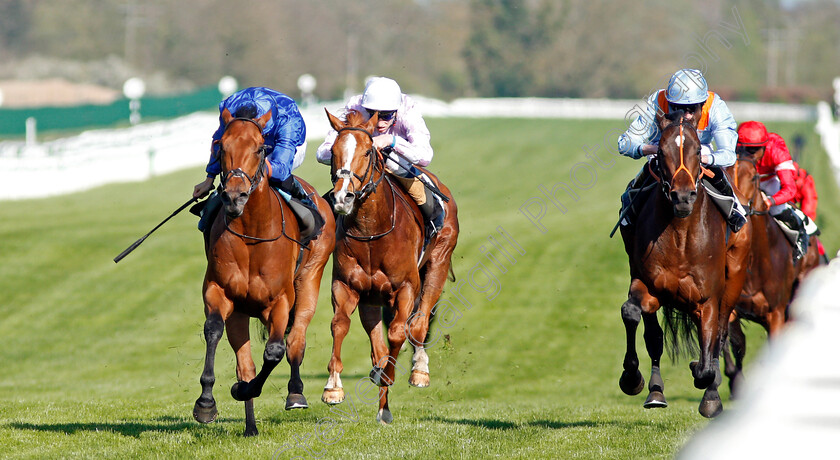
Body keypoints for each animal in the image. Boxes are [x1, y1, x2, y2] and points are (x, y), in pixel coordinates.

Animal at [190, 109, 334, 436]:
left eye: (260, 149)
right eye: (221, 147)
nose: (234, 197)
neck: (252, 235)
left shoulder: (279, 300)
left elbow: (275, 350)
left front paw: (244, 390)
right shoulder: (220, 292)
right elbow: (214, 330)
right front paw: (206, 403)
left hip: (310, 280)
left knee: (296, 340)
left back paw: (295, 393)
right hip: (242, 312)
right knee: (246, 364)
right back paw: (250, 426)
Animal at [320, 108, 456, 424]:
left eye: (368, 151)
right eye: (333, 152)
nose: (343, 197)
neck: (371, 232)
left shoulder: (405, 287)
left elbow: (398, 332)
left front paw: (393, 375)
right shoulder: (346, 286)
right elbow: (339, 325)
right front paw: (333, 387)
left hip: (438, 263)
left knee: (418, 323)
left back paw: (418, 370)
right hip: (371, 296)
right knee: (378, 344)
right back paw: (383, 402)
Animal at [616, 110, 756, 416]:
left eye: (697, 150)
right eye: (660, 151)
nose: (682, 196)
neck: (680, 234)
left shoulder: (708, 299)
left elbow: (708, 358)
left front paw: (707, 386)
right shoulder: (647, 283)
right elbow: (632, 314)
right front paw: (631, 378)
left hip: (734, 279)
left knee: (720, 335)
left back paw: (711, 391)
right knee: (654, 337)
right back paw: (656, 391)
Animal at [720, 153, 820, 394]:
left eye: (753, 176)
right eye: (725, 172)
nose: (739, 209)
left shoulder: (776, 313)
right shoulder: (733, 305)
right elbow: (734, 342)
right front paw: (735, 380)